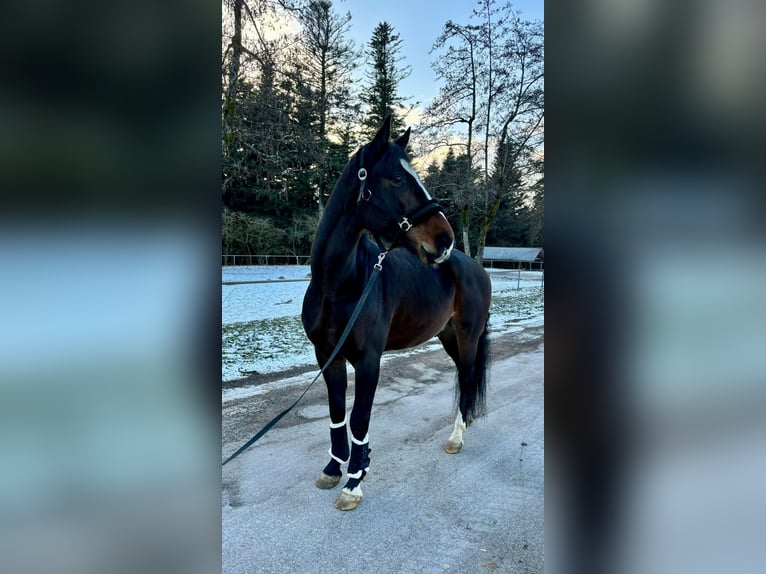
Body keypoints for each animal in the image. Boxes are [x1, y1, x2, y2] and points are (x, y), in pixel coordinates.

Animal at [302, 117, 492, 512]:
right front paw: (333, 469)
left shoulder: (368, 360)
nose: (444, 239)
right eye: (397, 179)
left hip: (468, 336)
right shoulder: (328, 356)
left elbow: (359, 419)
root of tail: (476, 268)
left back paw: (457, 437)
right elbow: (337, 413)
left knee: (468, 379)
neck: (338, 286)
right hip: (448, 337)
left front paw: (354, 483)